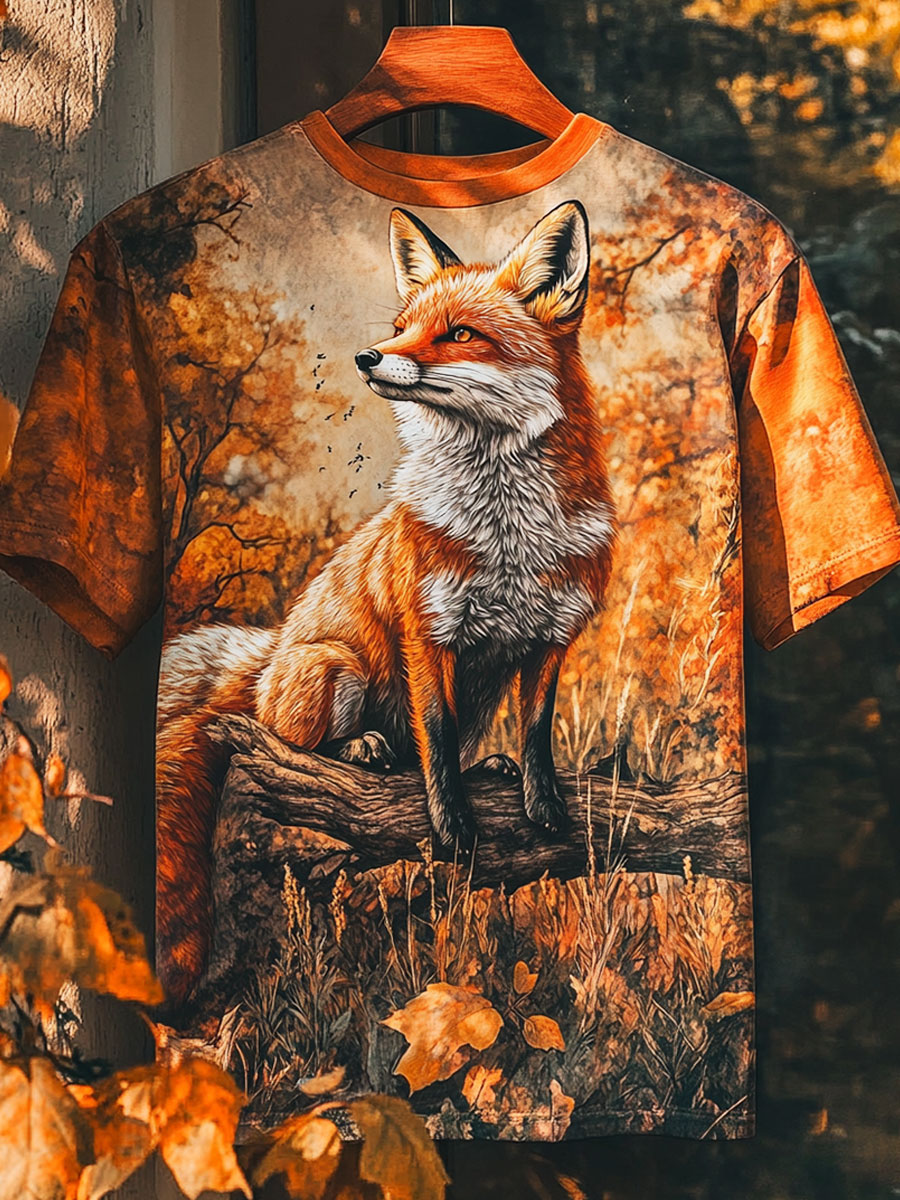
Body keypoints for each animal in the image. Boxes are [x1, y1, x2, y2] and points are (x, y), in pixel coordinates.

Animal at [156, 199, 616, 1007]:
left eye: (460, 334)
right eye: (402, 325)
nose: (369, 357)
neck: (510, 534)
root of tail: (269, 659)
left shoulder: (551, 637)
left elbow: (534, 735)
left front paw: (542, 804)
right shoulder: (428, 628)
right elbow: (435, 732)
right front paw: (451, 825)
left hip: (479, 685)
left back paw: (483, 768)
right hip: (333, 669)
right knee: (298, 745)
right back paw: (359, 751)